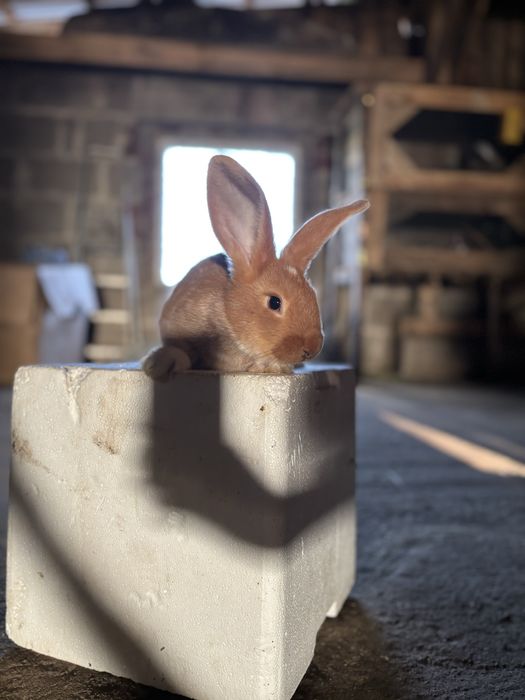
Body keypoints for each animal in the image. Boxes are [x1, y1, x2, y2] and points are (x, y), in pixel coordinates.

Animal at [142, 155, 369, 379]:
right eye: (274, 302)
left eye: (313, 296)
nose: (312, 348)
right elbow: (181, 351)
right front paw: (158, 364)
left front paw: (274, 367)